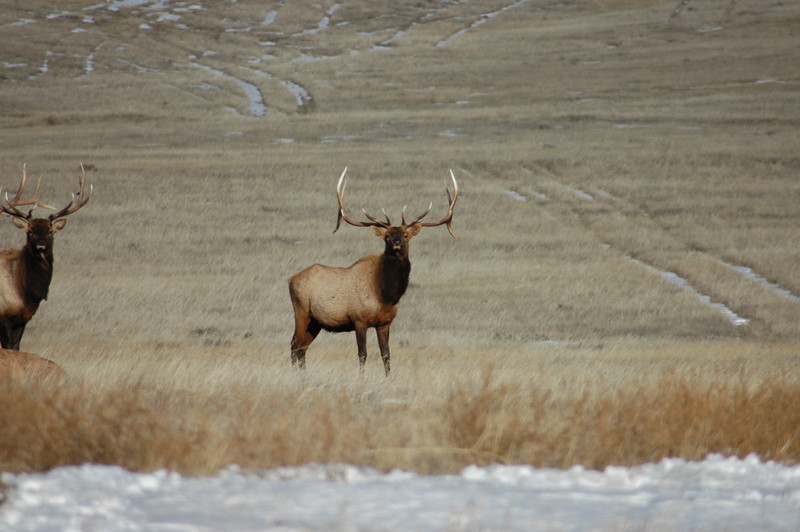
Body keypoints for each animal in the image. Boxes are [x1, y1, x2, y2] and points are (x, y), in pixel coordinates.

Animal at [0, 164, 93, 352]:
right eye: (29, 231)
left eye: (50, 231)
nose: (41, 243)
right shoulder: (4, 316)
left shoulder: (23, 318)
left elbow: (16, 347)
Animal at [290, 168, 460, 376]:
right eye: (387, 236)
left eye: (405, 235)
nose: (396, 242)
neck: (386, 294)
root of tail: (290, 279)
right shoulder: (359, 319)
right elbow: (362, 354)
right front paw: (361, 379)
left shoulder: (385, 323)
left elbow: (386, 354)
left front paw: (389, 378)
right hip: (301, 312)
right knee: (295, 345)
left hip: (315, 322)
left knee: (302, 348)